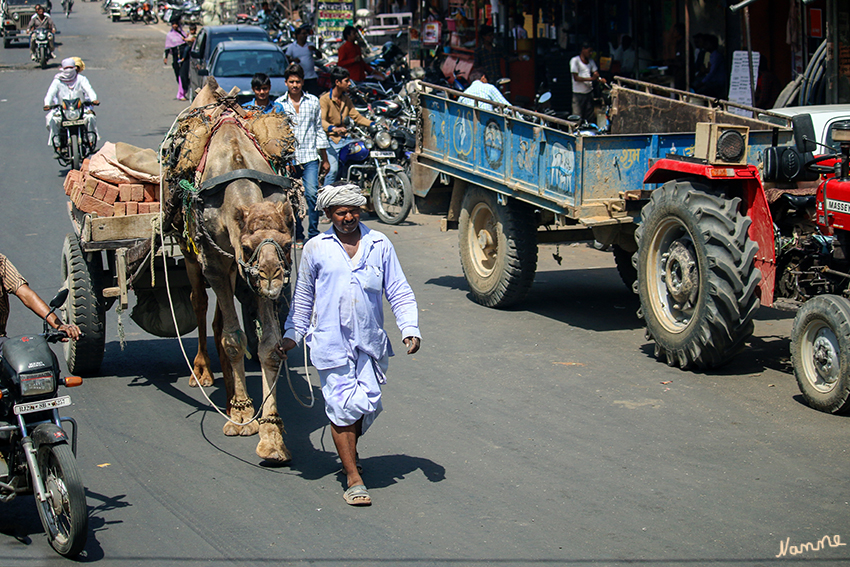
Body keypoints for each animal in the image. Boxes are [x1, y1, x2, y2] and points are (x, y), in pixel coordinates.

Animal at [169, 77, 294, 464]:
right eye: (250, 247)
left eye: (287, 244)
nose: (272, 276)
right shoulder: (214, 261)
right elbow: (234, 339)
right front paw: (241, 415)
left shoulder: (250, 277)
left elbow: (269, 344)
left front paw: (271, 436)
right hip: (191, 255)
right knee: (199, 304)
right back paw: (204, 373)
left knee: (222, 318)